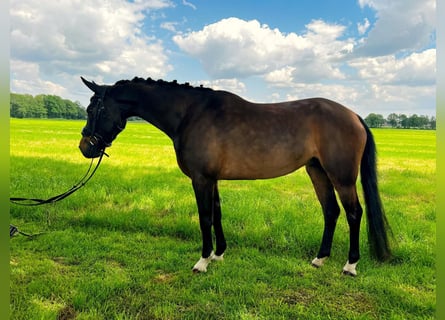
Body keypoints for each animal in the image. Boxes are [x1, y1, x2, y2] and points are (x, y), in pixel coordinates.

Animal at [79, 77, 388, 276]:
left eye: (93, 109)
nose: (85, 147)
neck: (190, 114)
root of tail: (354, 115)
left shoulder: (201, 179)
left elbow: (205, 217)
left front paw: (202, 262)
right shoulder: (212, 179)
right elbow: (217, 213)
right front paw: (219, 254)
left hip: (342, 177)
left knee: (353, 213)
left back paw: (350, 265)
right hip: (317, 171)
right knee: (331, 211)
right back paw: (319, 259)